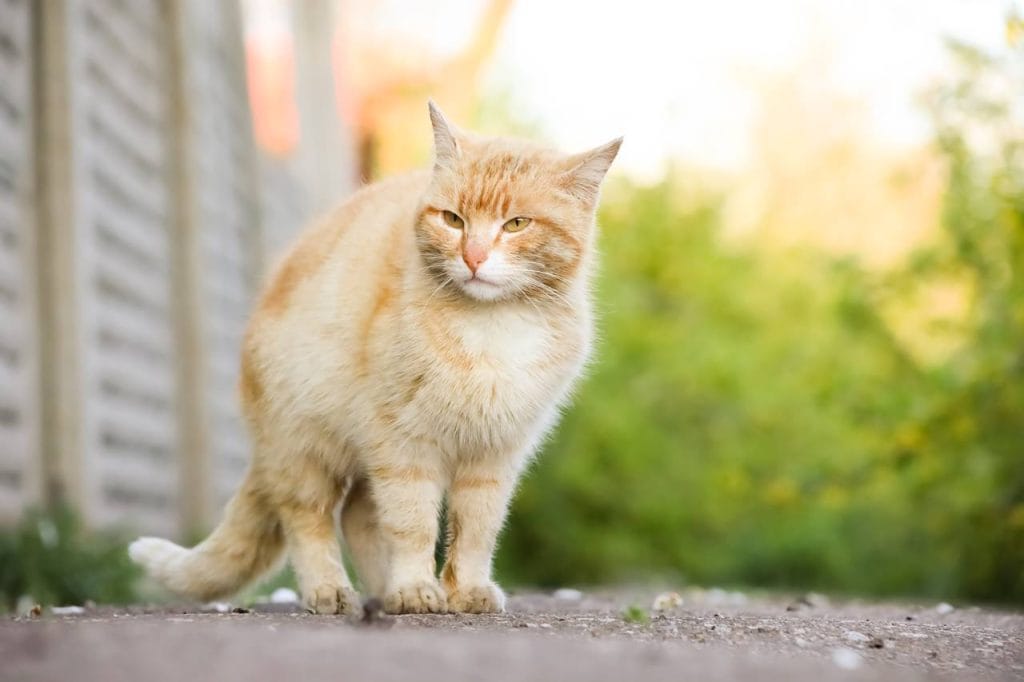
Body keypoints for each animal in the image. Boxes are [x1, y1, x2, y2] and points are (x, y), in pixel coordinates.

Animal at [131, 102, 618, 614]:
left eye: (517, 224)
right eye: (453, 219)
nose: (473, 256)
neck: (491, 328)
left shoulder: (494, 456)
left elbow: (475, 531)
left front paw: (464, 590)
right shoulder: (404, 447)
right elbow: (413, 524)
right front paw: (416, 588)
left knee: (357, 515)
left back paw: (384, 591)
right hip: (302, 449)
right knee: (310, 519)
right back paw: (332, 590)